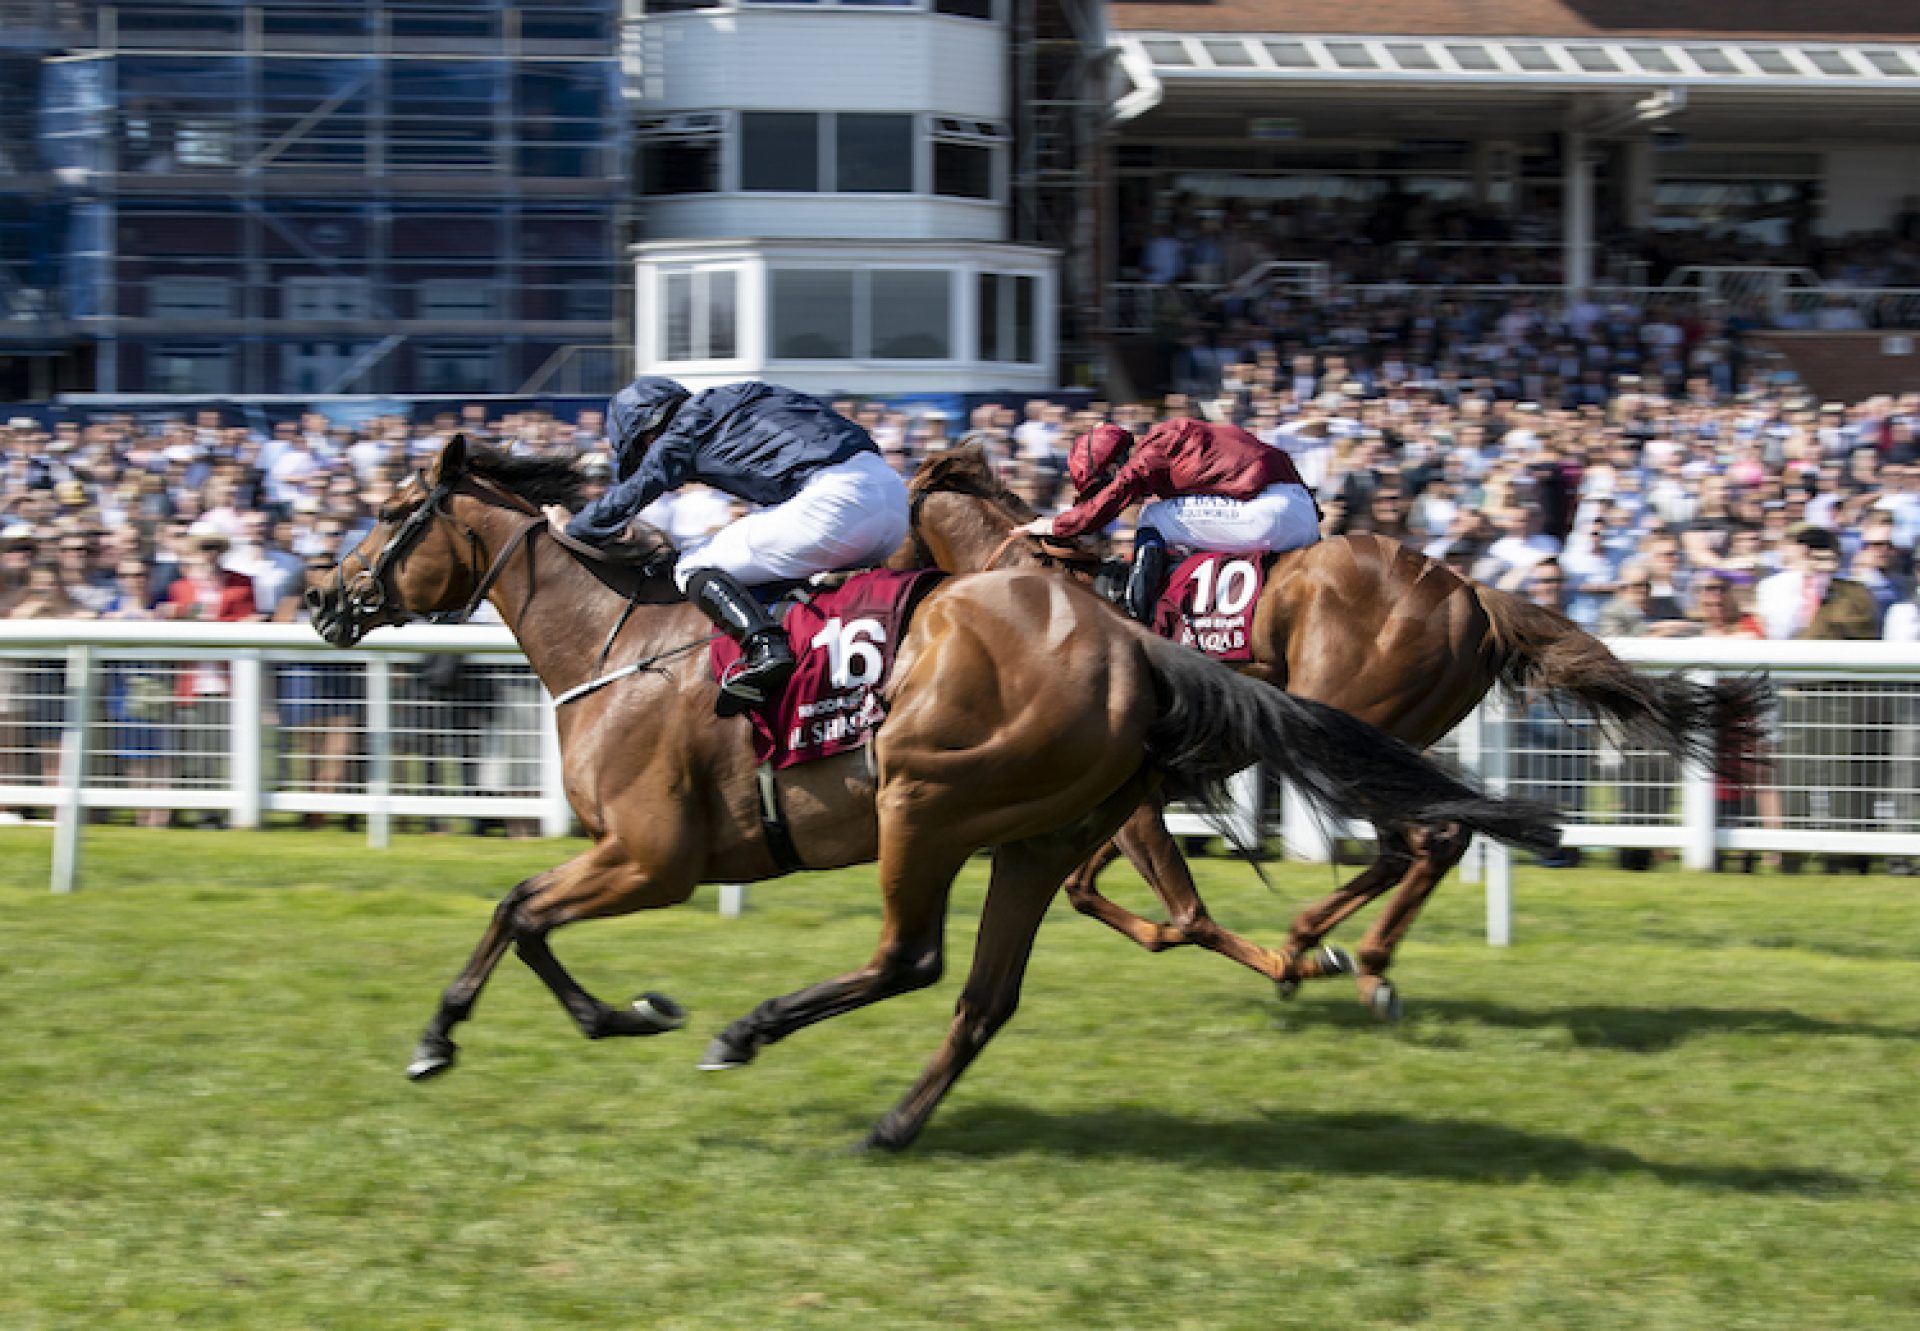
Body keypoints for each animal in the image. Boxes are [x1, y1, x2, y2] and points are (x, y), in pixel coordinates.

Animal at [303, 441, 1559, 1144]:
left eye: (389, 513)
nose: (319, 594)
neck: (619, 641)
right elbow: (523, 913)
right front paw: (615, 1012)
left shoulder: (653, 855)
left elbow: (517, 905)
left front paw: (459, 1035)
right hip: (1027, 833)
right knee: (985, 994)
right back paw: (900, 1118)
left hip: (923, 802)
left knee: (913, 955)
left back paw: (753, 1031)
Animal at [890, 445, 1758, 1014]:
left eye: (890, 514)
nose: (868, 579)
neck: (1034, 589)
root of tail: (1470, 592)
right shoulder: (1143, 791)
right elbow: (1098, 892)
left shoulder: (1134, 792)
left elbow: (1172, 907)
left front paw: (1282, 962)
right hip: (1394, 734)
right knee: (1431, 838)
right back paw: (1354, 954)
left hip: (1351, 724)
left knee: (1419, 839)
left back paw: (1335, 948)